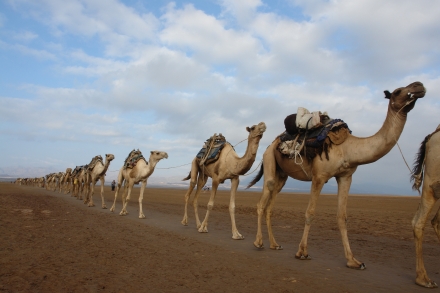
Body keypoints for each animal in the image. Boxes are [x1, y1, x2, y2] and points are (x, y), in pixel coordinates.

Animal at [248, 81, 426, 268]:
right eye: (398, 91)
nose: (419, 85)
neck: (348, 148)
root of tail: (271, 144)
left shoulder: (345, 177)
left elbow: (342, 217)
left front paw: (353, 261)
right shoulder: (319, 176)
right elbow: (310, 212)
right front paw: (302, 252)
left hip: (282, 175)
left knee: (270, 204)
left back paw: (274, 244)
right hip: (269, 160)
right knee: (263, 199)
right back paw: (259, 242)